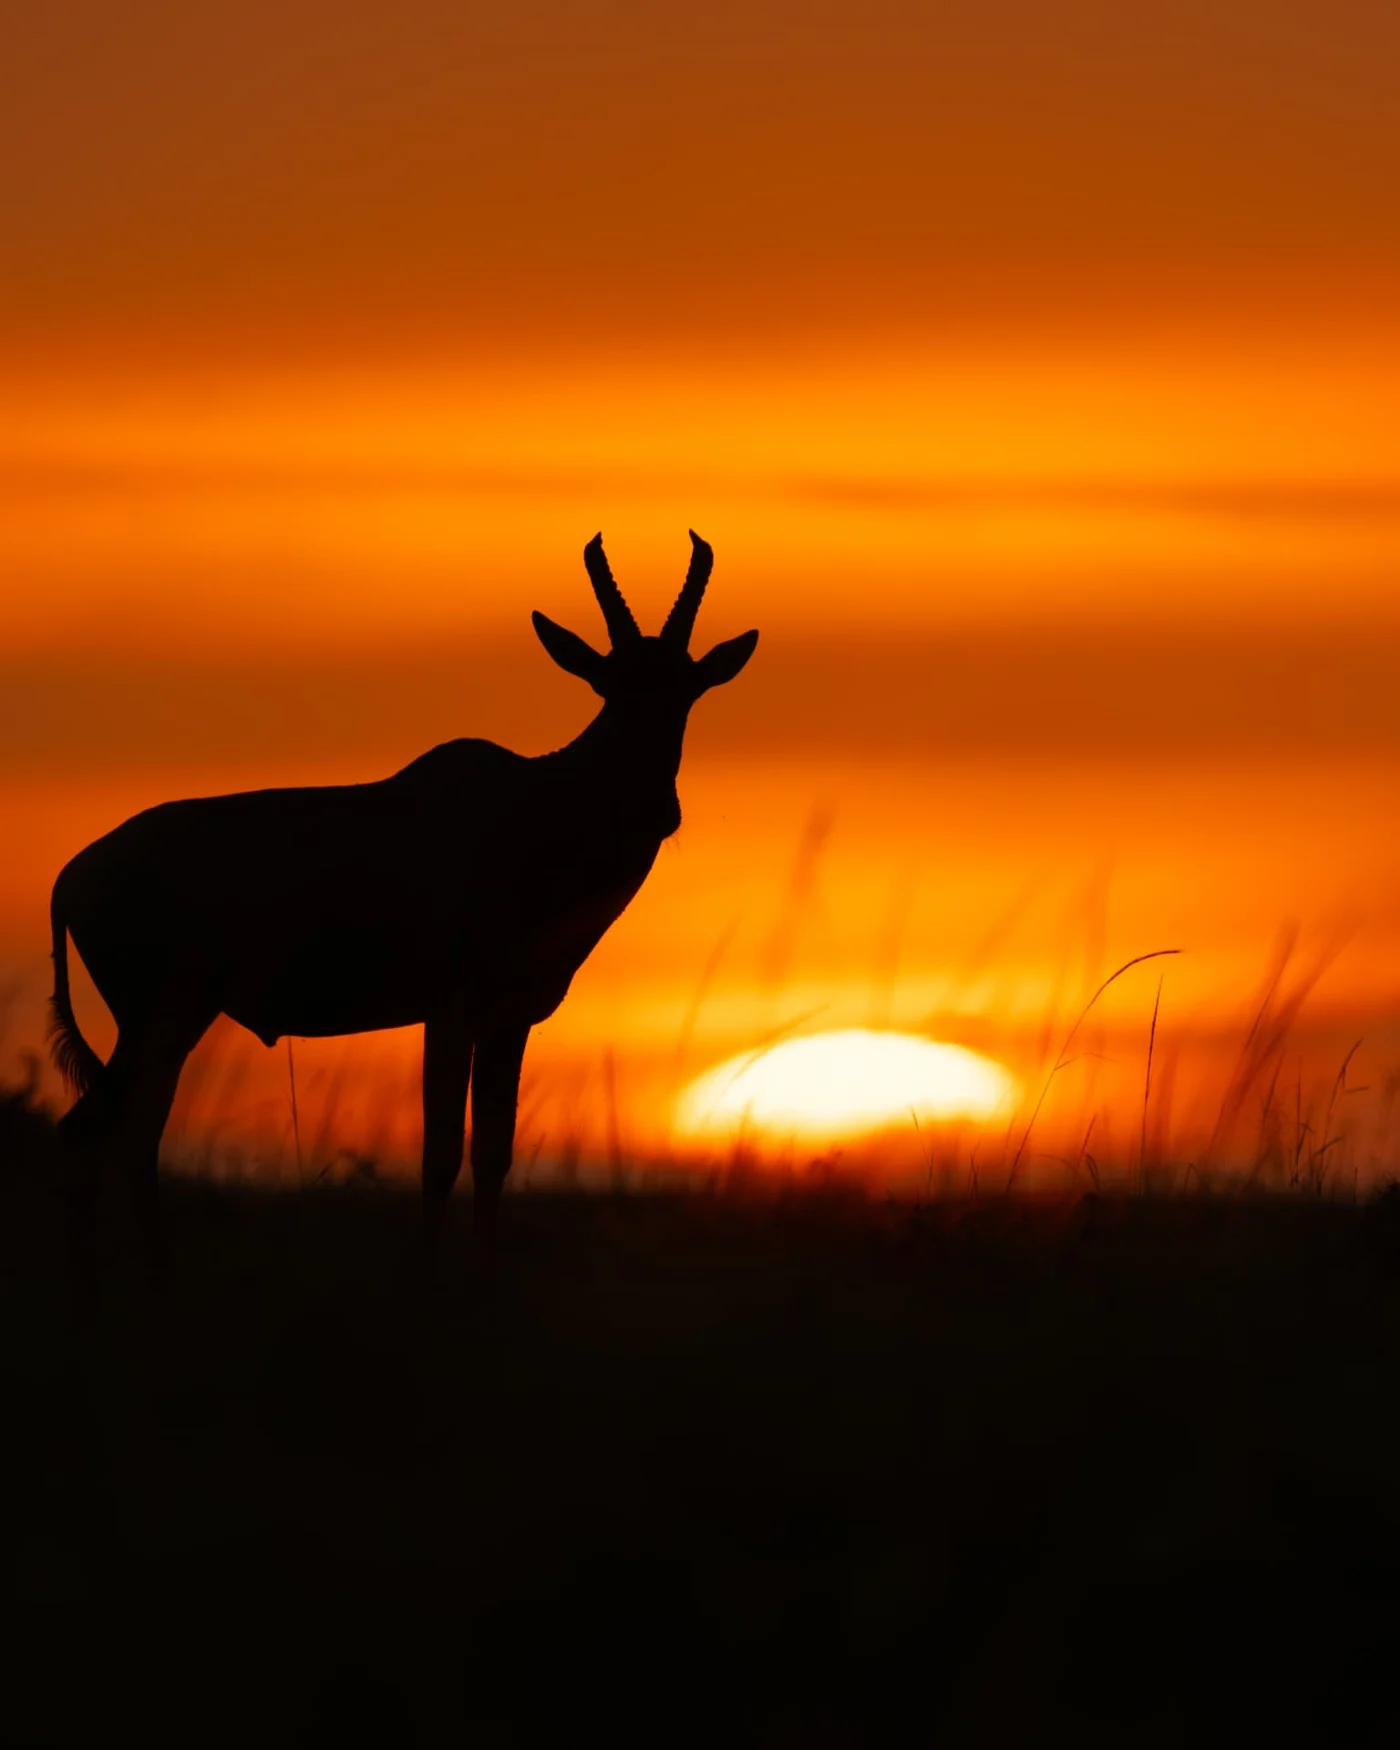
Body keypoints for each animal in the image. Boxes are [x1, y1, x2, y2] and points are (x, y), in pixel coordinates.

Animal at [49, 532, 757, 1262]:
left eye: (690, 690)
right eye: (609, 688)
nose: (658, 810)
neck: (532, 806)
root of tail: (73, 875)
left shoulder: (509, 1020)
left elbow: (493, 1155)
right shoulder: (450, 1012)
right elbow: (439, 1155)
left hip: (176, 1024)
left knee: (120, 1137)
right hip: (158, 1019)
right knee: (100, 1137)